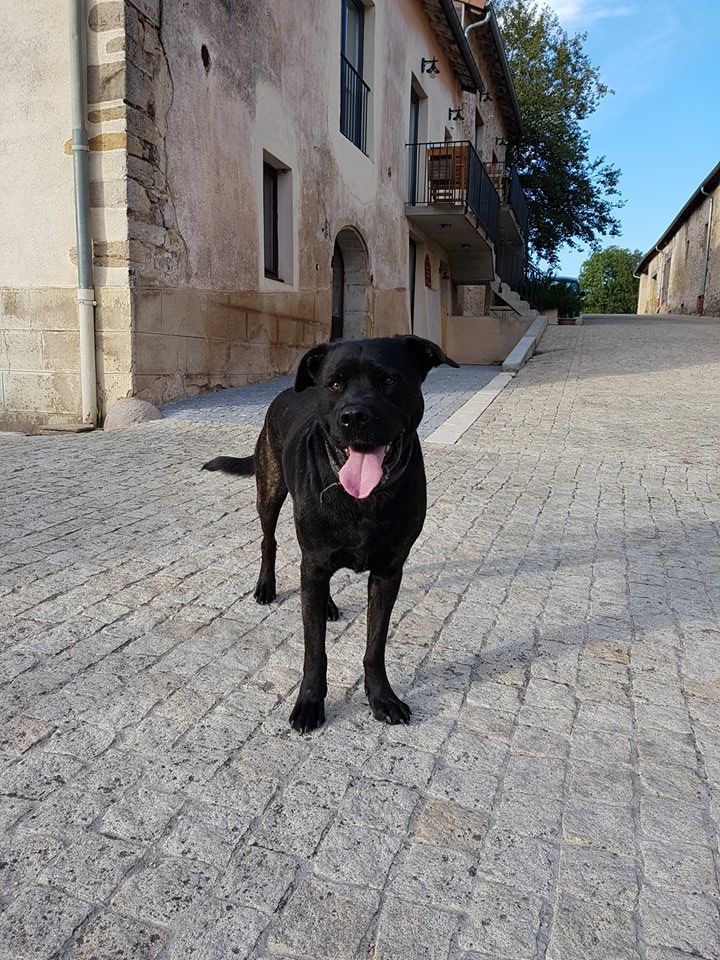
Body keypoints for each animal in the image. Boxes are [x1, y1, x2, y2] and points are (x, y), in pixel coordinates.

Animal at [201, 334, 462, 732]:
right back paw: (266, 586)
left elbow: (375, 644)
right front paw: (310, 702)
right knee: (269, 540)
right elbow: (314, 649)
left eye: (389, 380)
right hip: (271, 493)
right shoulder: (314, 561)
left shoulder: (388, 572)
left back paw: (326, 604)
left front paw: (382, 697)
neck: (363, 500)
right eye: (335, 384)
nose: (354, 416)